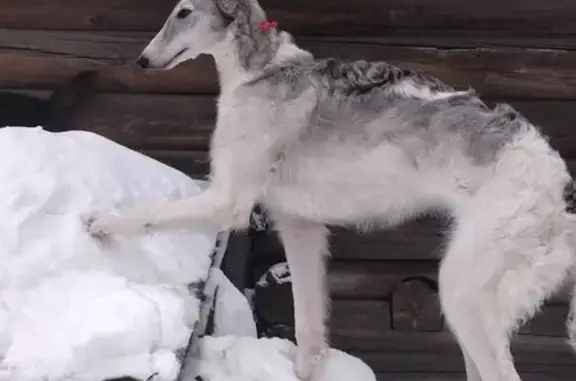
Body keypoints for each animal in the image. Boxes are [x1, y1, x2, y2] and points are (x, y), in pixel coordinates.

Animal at [84, 0, 576, 380]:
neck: (262, 70)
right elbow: (308, 327)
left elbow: (148, 213)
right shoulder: (300, 226)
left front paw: (100, 222)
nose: (142, 61)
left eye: (183, 11)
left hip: (464, 288)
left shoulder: (230, 200)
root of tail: (559, 182)